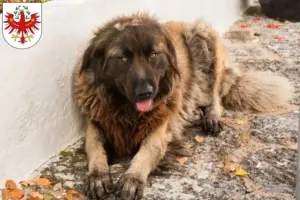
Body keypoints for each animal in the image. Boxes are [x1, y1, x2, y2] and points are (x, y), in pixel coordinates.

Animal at [71, 12, 294, 198]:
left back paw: (211, 117)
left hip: (204, 37)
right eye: (124, 59)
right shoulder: (97, 123)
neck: (126, 108)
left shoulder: (159, 129)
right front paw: (98, 174)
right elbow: (94, 148)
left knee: (215, 97)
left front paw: (132, 177)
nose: (146, 92)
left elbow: (146, 152)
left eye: (153, 55)